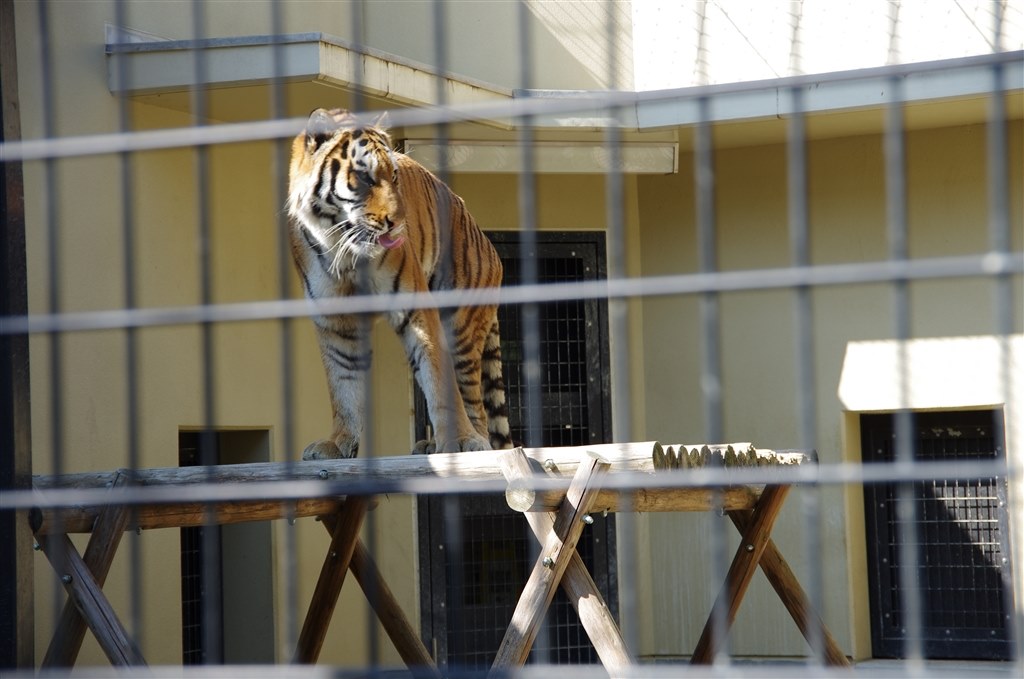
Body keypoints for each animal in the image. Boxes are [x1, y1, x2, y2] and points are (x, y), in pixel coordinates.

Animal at [284, 110, 512, 462]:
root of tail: (489, 244)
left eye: (393, 176)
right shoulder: (335, 321)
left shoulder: (417, 309)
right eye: (364, 178)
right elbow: (343, 386)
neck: (344, 250)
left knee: (473, 400)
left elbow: (439, 377)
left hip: (460, 325)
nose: (398, 221)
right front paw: (337, 443)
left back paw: (472, 441)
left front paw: (459, 439)